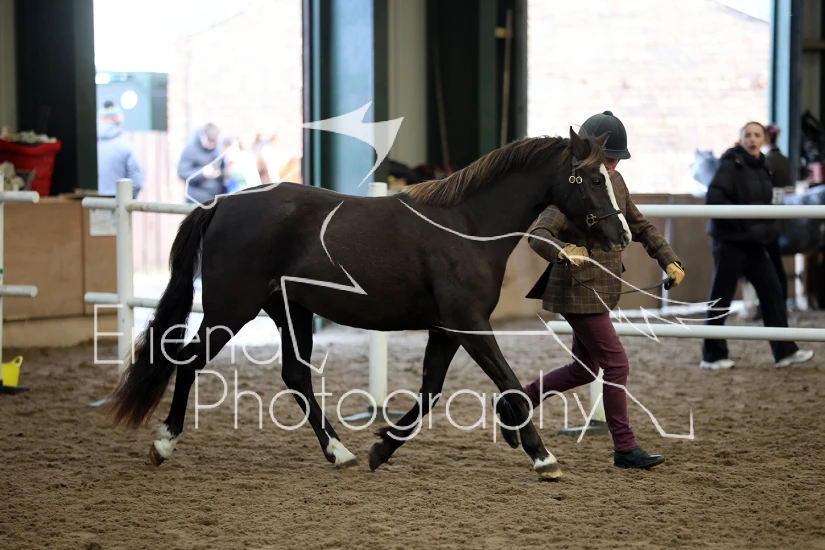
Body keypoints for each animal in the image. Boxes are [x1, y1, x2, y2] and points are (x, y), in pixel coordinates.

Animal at [102, 127, 632, 479]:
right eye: (590, 180)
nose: (622, 235)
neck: (465, 226)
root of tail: (222, 204)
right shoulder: (469, 323)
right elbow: (509, 384)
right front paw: (543, 457)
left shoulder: (447, 328)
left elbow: (430, 392)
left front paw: (382, 449)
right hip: (230, 310)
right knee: (187, 361)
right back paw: (164, 443)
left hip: (290, 312)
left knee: (295, 378)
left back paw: (341, 452)